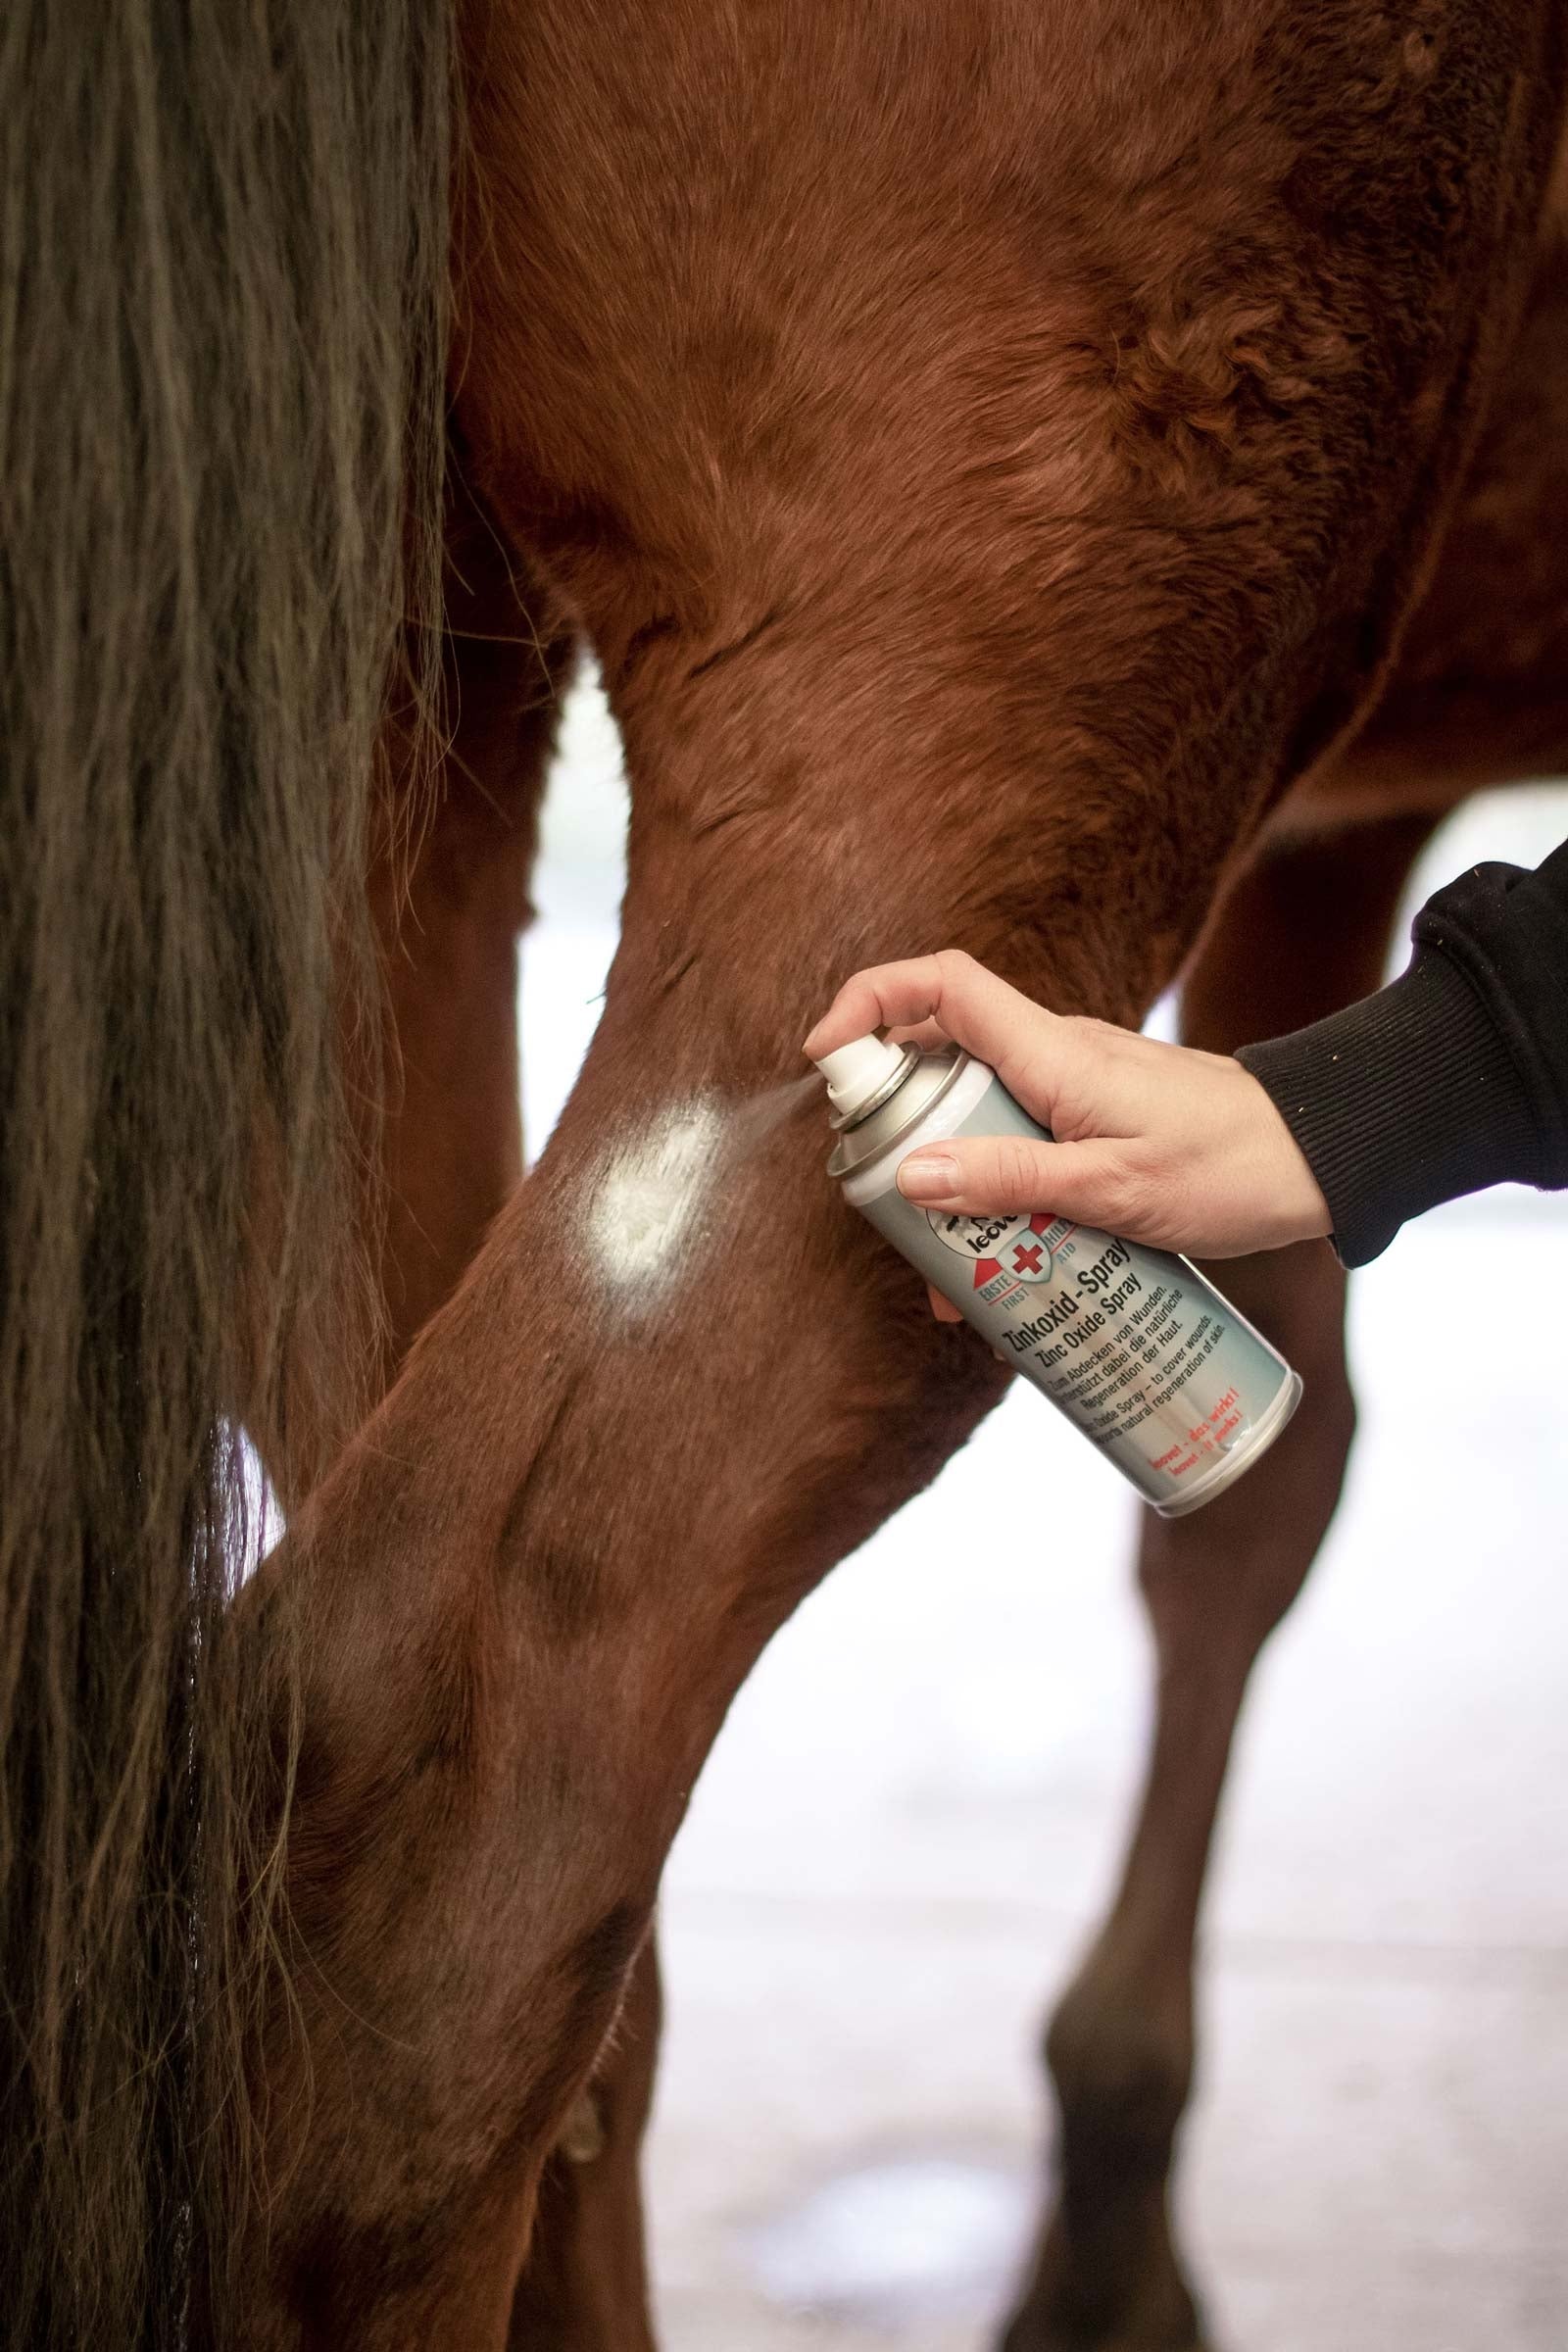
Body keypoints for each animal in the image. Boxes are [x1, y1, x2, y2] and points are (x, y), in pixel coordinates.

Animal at [3, 3, 1565, 2345]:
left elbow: (1265, 1458)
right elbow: (1275, 1492)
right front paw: (1107, 2245)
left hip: (357, 727)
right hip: (1055, 614)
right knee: (440, 1852)